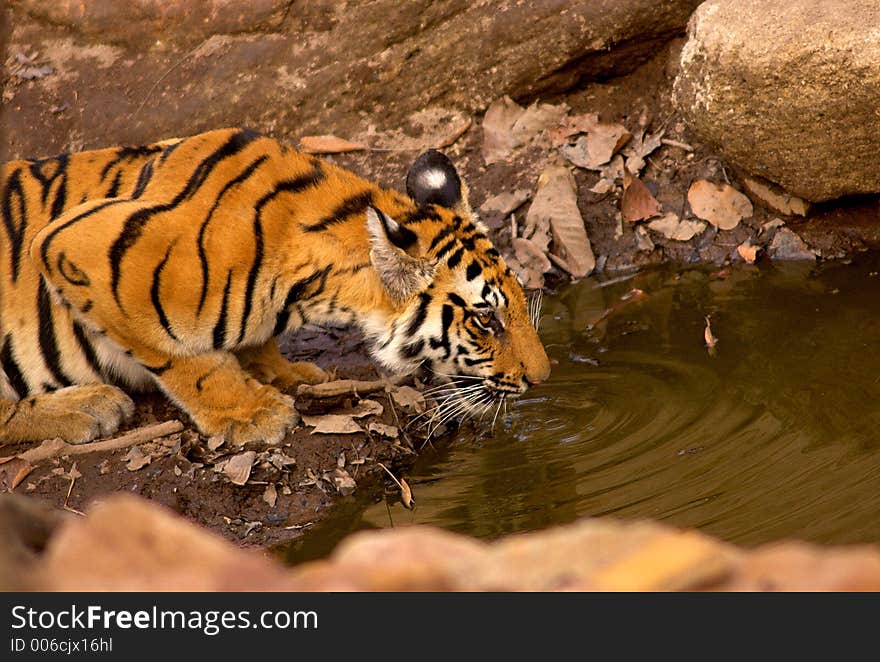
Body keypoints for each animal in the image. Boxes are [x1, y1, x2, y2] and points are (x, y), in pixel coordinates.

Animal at [0, 127, 552, 448]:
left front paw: (287, 373)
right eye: (485, 319)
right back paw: (89, 406)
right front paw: (253, 413)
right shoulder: (75, 247)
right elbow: (187, 360)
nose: (543, 378)